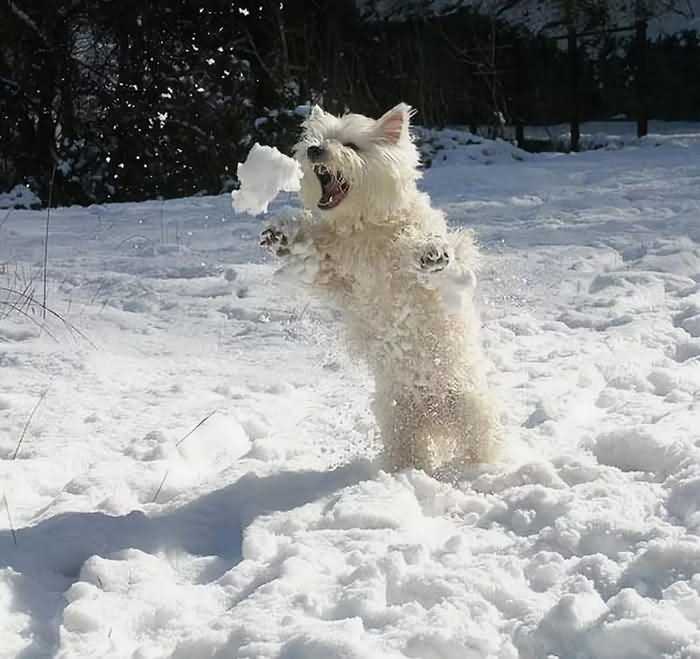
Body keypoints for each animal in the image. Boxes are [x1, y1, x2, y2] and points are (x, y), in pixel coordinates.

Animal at [260, 102, 500, 474]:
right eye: (317, 139)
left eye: (352, 146)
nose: (315, 151)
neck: (365, 226)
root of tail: (436, 416)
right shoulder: (338, 275)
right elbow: (318, 255)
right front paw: (281, 236)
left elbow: (431, 252)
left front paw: (430, 253)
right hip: (397, 419)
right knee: (409, 451)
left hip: (474, 410)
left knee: (483, 444)